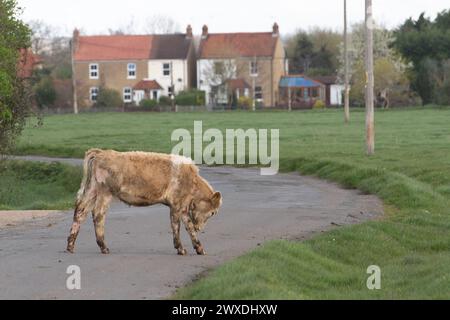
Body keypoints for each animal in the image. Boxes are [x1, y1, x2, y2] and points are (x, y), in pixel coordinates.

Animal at [65, 149, 223, 256]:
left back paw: (70, 246)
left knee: (80, 212)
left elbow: (188, 226)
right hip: (105, 192)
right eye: (213, 212)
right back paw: (104, 247)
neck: (192, 181)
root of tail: (101, 152)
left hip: (92, 190)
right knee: (98, 215)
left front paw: (199, 248)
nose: (200, 228)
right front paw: (181, 248)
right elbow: (176, 226)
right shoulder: (177, 205)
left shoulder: (182, 207)